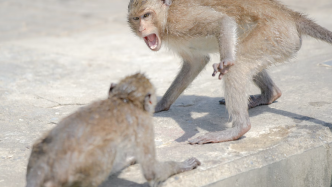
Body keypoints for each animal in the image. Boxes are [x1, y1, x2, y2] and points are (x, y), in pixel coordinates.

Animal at [126, 0, 332, 144]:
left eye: (146, 15)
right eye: (136, 18)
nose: (142, 28)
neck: (166, 19)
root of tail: (289, 14)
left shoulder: (181, 19)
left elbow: (223, 22)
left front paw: (224, 60)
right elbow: (196, 62)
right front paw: (160, 105)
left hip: (276, 34)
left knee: (237, 64)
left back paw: (238, 129)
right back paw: (269, 94)